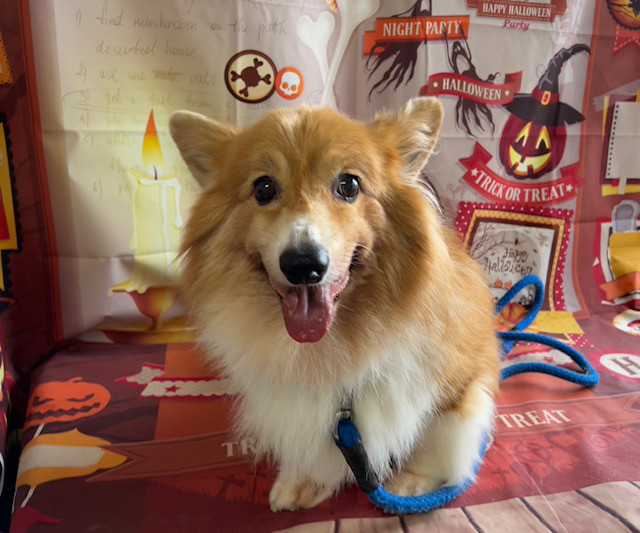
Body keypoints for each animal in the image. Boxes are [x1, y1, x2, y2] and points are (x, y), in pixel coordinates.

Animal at [170, 97, 500, 512]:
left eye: (349, 185)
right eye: (263, 187)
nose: (303, 264)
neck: (333, 350)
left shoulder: (460, 382)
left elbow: (439, 436)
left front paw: (412, 480)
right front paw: (307, 479)